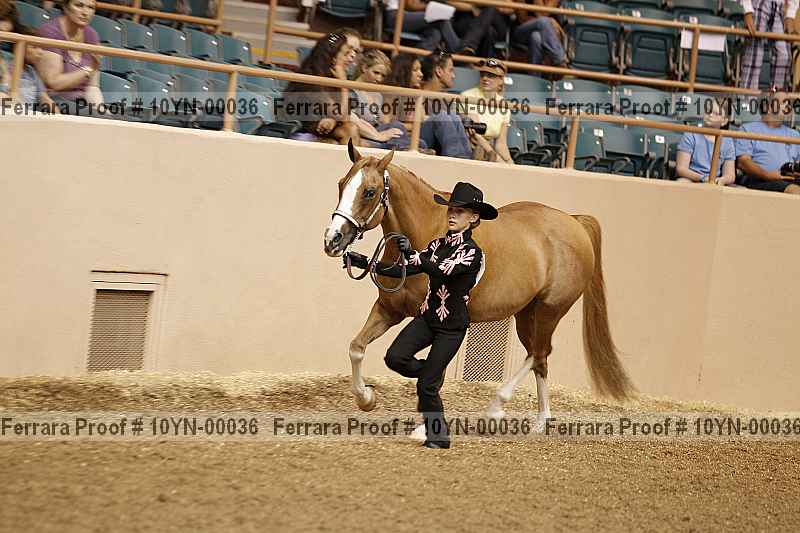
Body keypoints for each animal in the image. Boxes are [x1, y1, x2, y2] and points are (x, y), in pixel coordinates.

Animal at [323, 141, 635, 428]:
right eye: (341, 184)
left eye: (369, 192)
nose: (332, 239)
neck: (425, 231)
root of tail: (575, 222)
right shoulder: (390, 309)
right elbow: (357, 347)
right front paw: (366, 398)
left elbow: (433, 374)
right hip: (526, 314)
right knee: (539, 358)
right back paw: (540, 421)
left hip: (551, 310)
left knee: (538, 353)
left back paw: (498, 407)